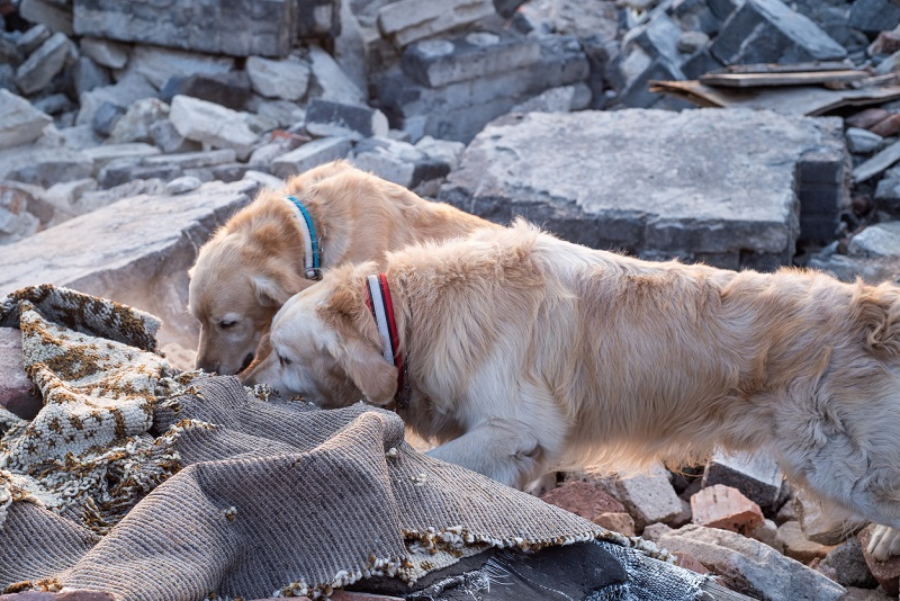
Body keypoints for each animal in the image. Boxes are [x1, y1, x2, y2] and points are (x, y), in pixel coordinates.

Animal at [241, 221, 900, 564]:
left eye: (285, 356)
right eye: (266, 347)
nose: (240, 383)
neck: (412, 315)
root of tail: (874, 309)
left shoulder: (516, 426)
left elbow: (441, 464)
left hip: (842, 465)